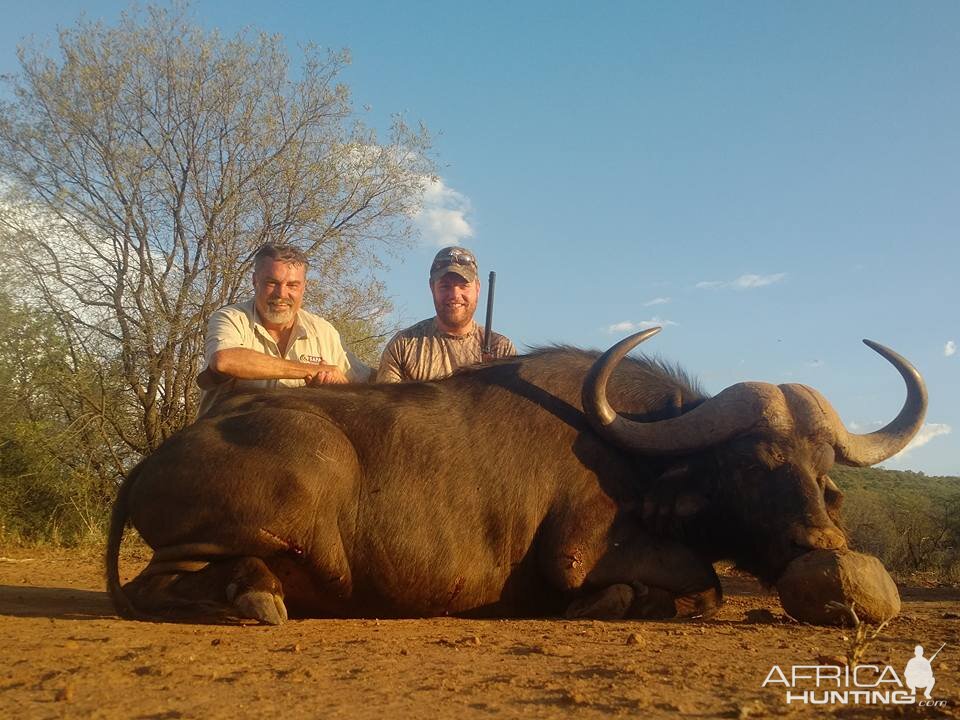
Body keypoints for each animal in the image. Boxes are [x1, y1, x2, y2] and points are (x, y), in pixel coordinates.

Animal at [105, 328, 924, 624]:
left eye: (823, 472)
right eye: (754, 466)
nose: (820, 547)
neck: (638, 455)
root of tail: (149, 462)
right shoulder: (576, 556)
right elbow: (702, 584)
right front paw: (623, 600)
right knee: (157, 586)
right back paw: (253, 596)